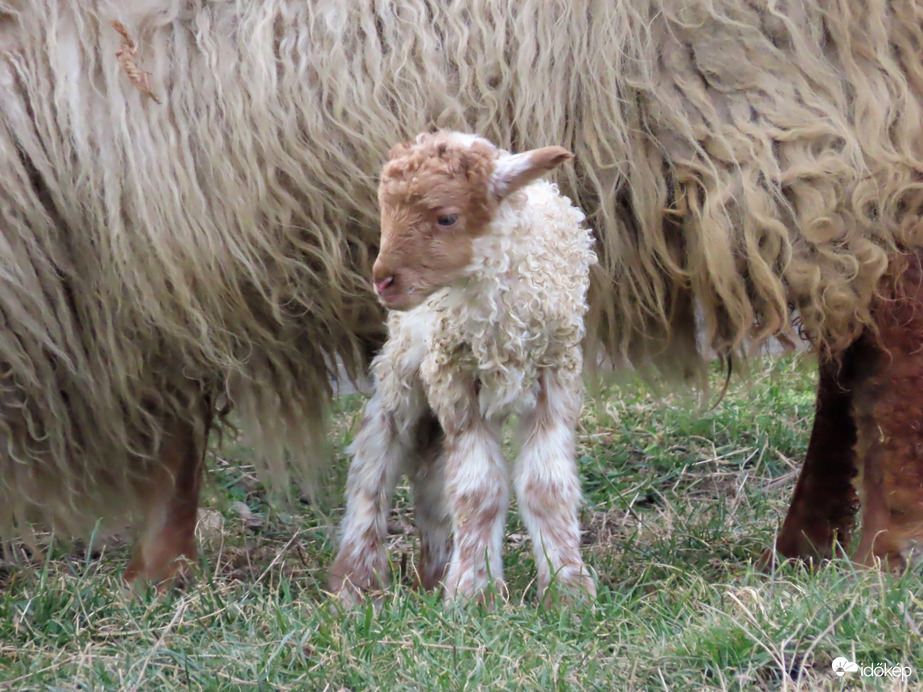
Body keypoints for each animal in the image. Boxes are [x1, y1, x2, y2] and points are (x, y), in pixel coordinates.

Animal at [330, 132, 600, 604]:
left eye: (447, 217)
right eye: (385, 212)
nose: (383, 280)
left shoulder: (555, 375)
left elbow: (546, 486)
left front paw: (568, 588)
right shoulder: (454, 379)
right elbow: (479, 490)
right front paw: (474, 593)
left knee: (431, 472)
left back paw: (434, 571)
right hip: (404, 368)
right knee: (375, 462)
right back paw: (355, 582)